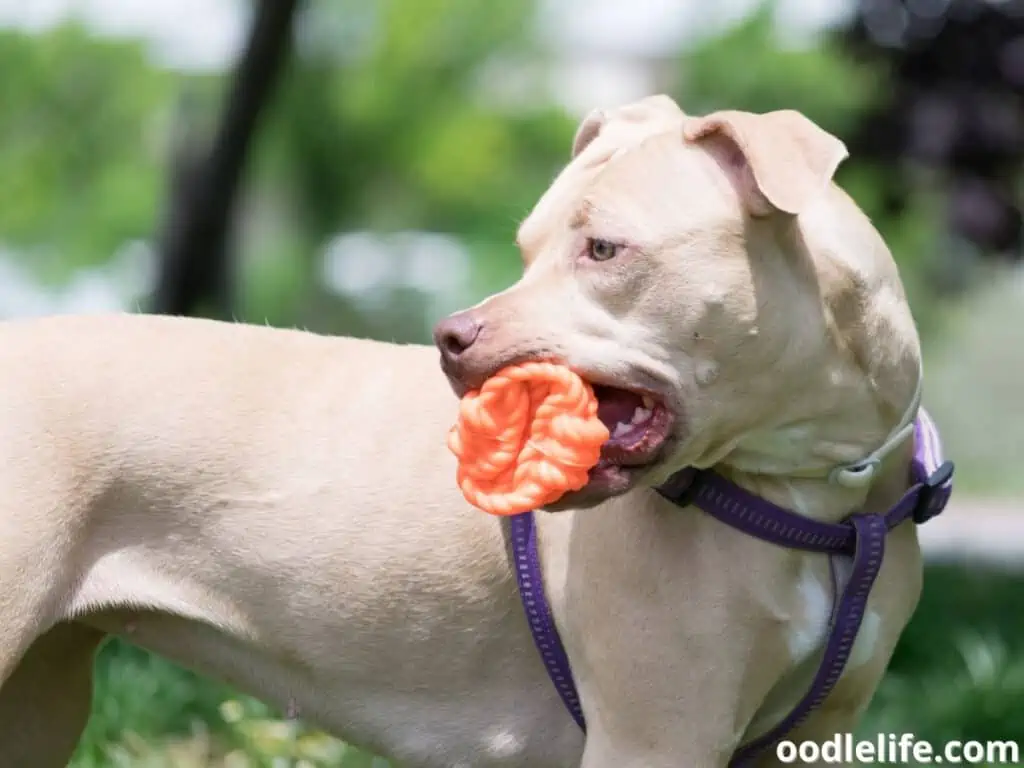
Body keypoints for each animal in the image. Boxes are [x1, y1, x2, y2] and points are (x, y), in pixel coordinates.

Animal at [0, 93, 929, 765]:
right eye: (526, 247)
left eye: (603, 249)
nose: (451, 337)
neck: (813, 487)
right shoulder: (657, 735)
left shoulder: (809, 736)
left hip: (39, 697)